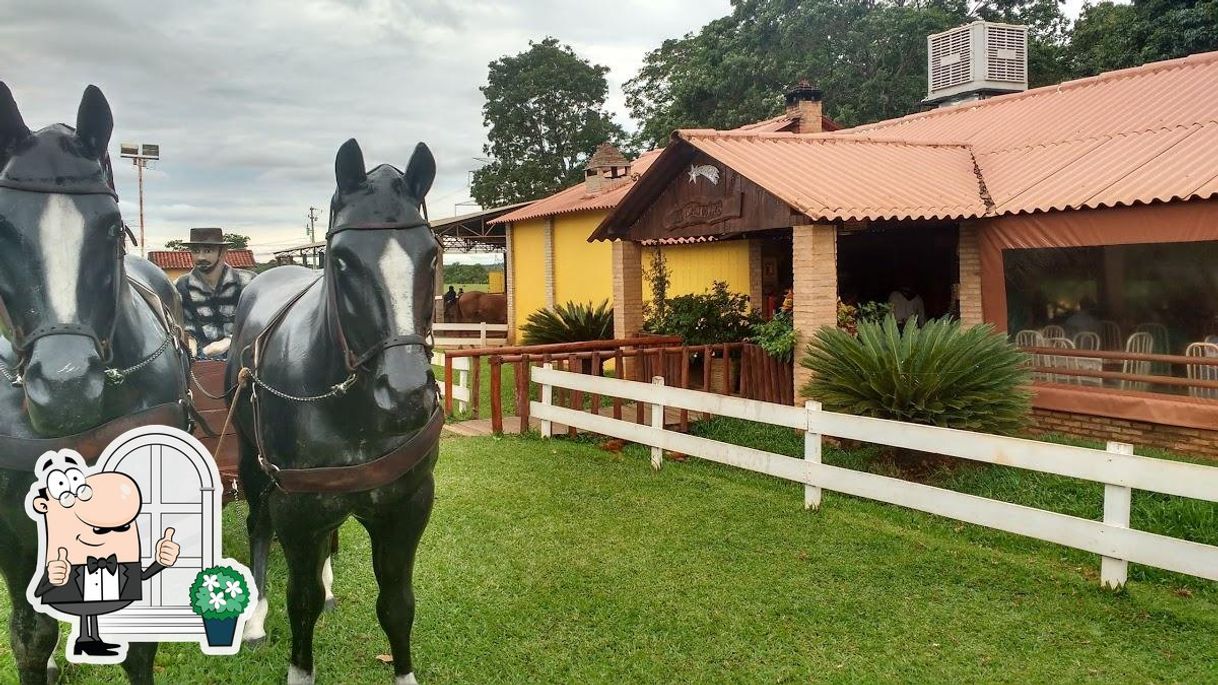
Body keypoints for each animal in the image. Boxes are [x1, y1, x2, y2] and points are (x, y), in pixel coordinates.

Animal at [228, 138, 443, 682]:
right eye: (342, 260)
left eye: (431, 254)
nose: (406, 395)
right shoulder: (296, 511)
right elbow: (299, 604)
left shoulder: (406, 507)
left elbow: (397, 606)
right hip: (251, 464)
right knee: (258, 527)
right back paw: (255, 617)